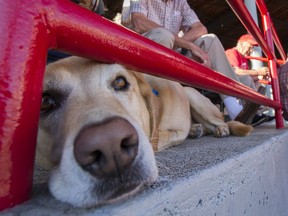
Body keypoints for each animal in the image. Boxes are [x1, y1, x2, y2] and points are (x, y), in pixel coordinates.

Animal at [36, 55, 252, 208]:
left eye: (120, 82)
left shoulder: (174, 132)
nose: (109, 144)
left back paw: (220, 128)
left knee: (219, 120)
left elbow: (160, 137)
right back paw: (197, 129)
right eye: (45, 102)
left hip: (193, 95)